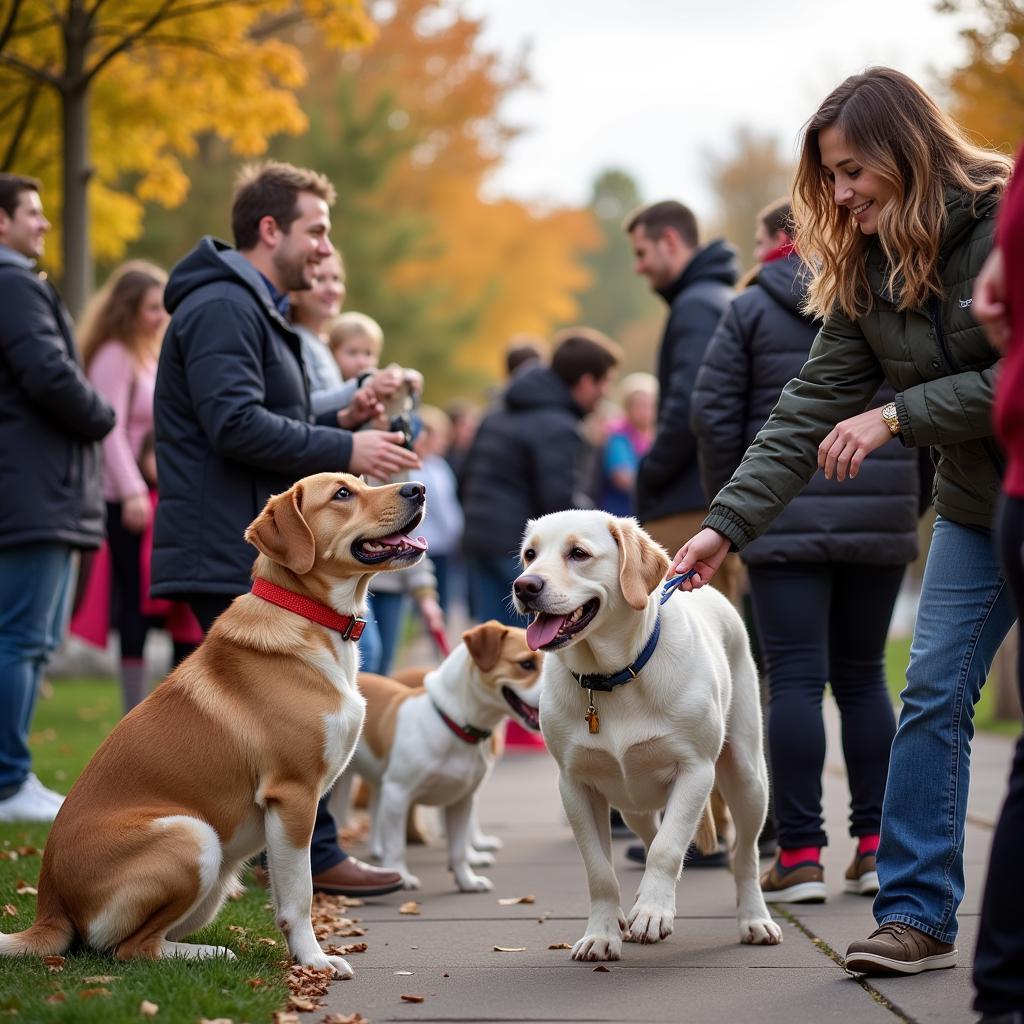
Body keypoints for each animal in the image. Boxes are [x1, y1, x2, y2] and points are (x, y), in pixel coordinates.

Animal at [0, 471, 428, 974]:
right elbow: (301, 894)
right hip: (194, 836)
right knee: (128, 949)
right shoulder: (294, 795)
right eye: (342, 494)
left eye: (362, 481)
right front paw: (315, 960)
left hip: (218, 875)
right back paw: (211, 954)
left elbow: (285, 895)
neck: (307, 616)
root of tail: (49, 903)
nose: (418, 488)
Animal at [333, 618, 544, 892]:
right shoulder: (398, 794)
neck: (451, 723)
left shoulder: (461, 800)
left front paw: (467, 880)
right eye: (526, 664)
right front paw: (401, 875)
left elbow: (458, 849)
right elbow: (396, 845)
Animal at [516, 512, 778, 958]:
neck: (610, 677)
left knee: (743, 854)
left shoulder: (695, 771)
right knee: (653, 833)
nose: (524, 586)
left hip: (747, 778)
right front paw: (603, 932)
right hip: (631, 804)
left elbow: (668, 848)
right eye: (530, 555)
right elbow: (600, 870)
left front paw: (654, 911)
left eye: (578, 553)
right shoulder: (575, 786)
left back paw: (753, 919)